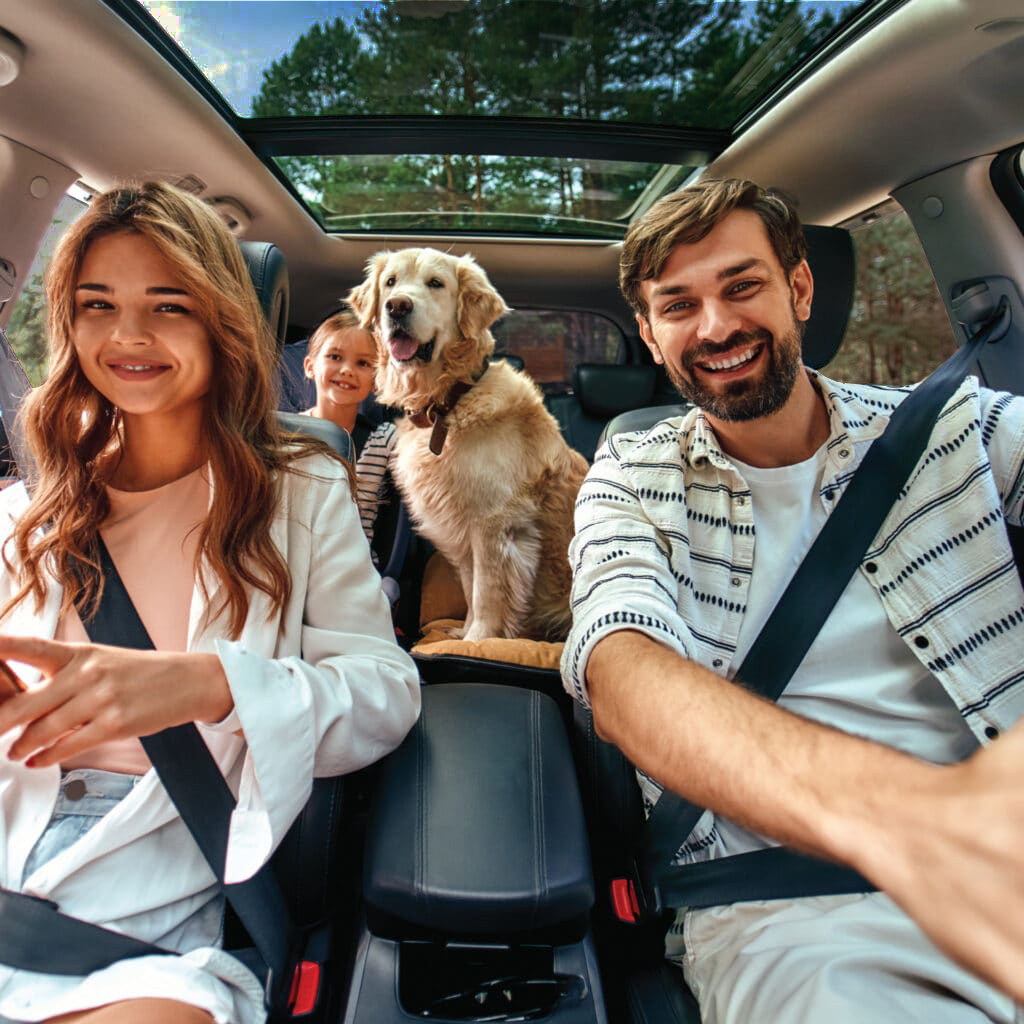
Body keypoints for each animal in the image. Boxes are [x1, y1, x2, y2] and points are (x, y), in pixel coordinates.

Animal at [346, 245, 585, 638]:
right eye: (391, 282)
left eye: (435, 283)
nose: (397, 306)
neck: (447, 402)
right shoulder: (461, 523)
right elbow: (471, 588)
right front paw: (465, 631)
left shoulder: (493, 522)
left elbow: (487, 592)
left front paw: (479, 639)